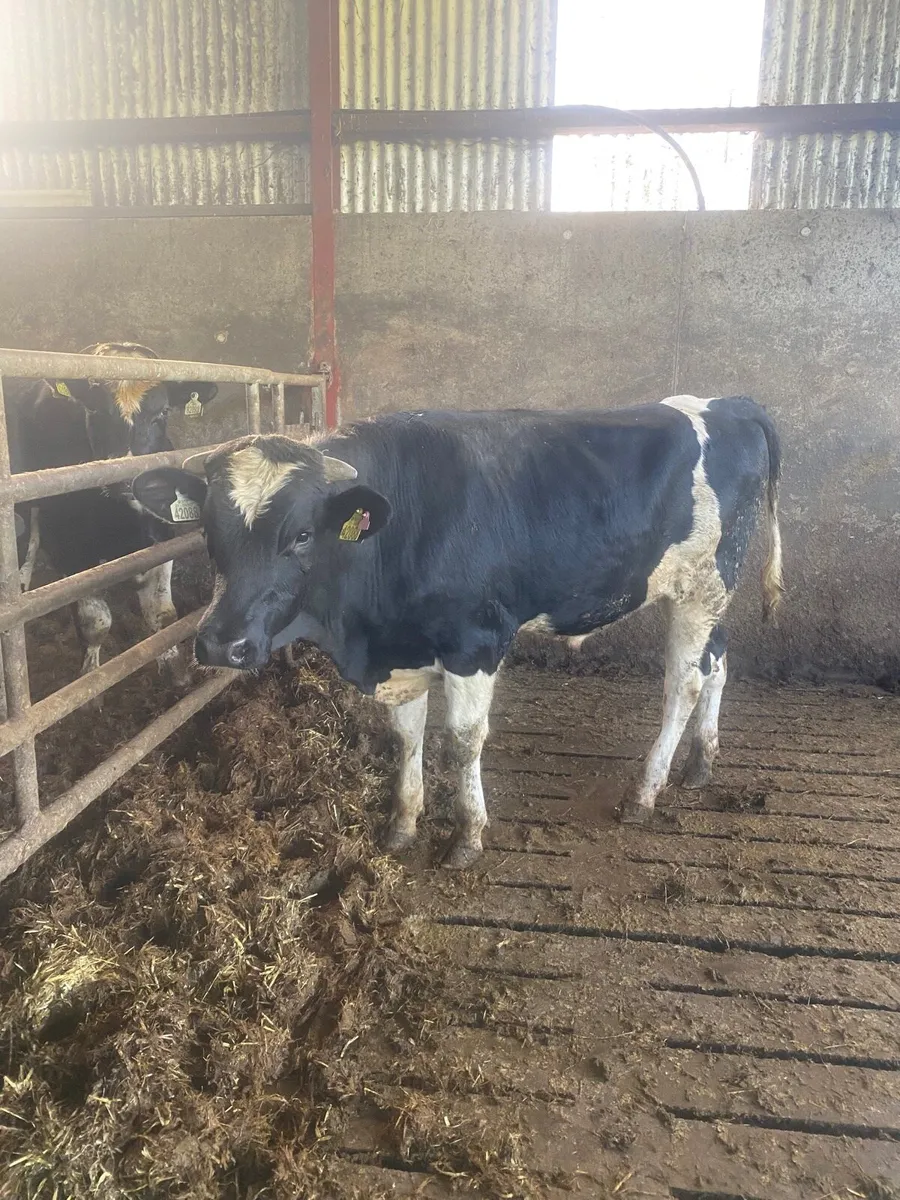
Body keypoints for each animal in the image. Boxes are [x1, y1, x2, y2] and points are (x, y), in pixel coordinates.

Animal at [7, 342, 217, 683]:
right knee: (30, 534)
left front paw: (173, 665)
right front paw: (91, 678)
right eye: (95, 412)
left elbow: (162, 614)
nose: (124, 478)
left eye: (162, 413)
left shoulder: (163, 537)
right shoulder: (70, 549)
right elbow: (95, 622)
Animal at [130, 396, 783, 867]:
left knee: (683, 685)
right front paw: (402, 823)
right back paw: (700, 764)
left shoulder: (476, 642)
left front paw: (467, 835)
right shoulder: (401, 654)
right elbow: (406, 737)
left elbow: (463, 740)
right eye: (208, 529)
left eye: (302, 535)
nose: (222, 643)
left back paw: (646, 792)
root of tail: (725, 402)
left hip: (701, 585)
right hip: (708, 595)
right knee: (717, 661)